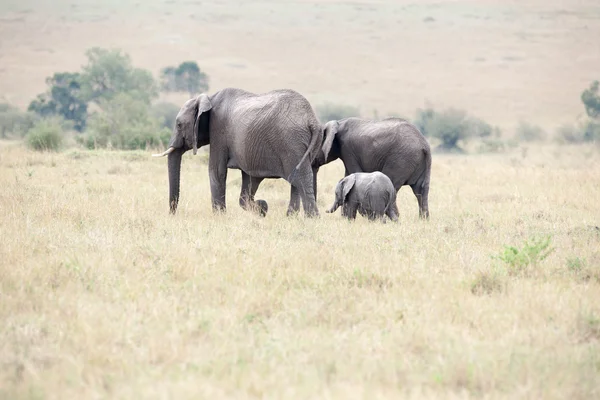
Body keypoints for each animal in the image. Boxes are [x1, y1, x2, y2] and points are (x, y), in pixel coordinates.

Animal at [154, 88, 324, 217]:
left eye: (179, 124)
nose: (172, 214)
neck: (209, 98)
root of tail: (312, 120)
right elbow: (247, 178)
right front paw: (261, 208)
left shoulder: (218, 131)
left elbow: (216, 171)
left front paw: (220, 217)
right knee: (297, 181)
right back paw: (292, 218)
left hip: (290, 143)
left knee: (300, 178)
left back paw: (311, 219)